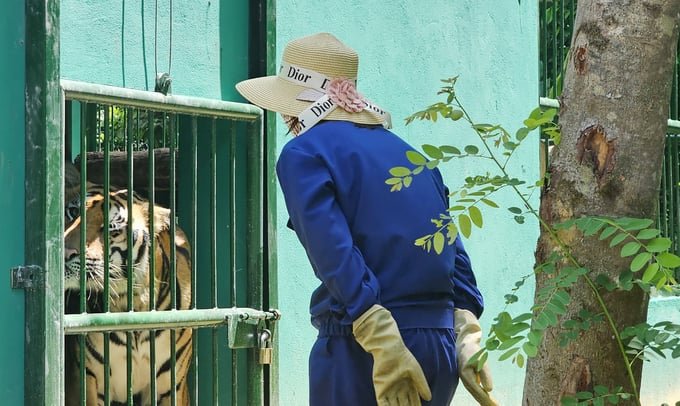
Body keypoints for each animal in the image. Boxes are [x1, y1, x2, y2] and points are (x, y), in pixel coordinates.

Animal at [63, 176, 193, 404]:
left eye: (111, 228)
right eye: (72, 212)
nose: (65, 251)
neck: (132, 300)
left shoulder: (170, 386)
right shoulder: (88, 379)